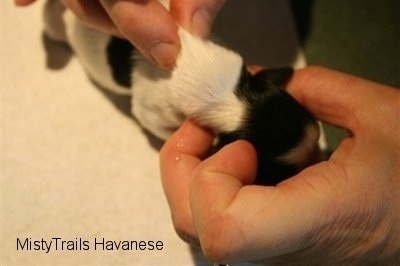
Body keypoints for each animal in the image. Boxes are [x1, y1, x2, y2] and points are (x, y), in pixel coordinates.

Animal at [44, 0, 318, 185]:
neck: (232, 96)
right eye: (280, 171)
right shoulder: (153, 113)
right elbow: (159, 126)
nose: (315, 160)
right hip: (57, 28)